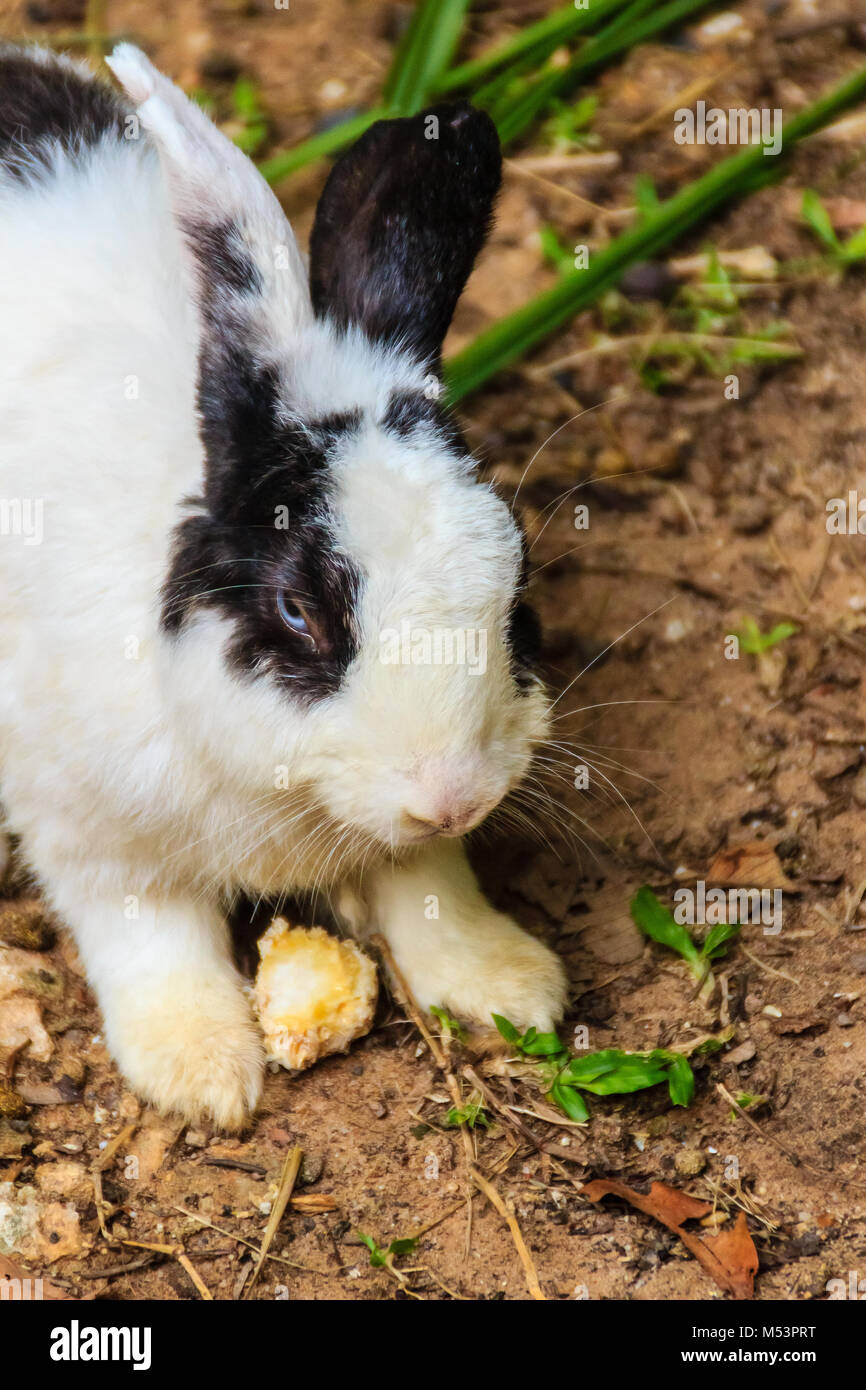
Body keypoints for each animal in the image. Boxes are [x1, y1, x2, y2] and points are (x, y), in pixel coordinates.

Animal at [0, 43, 567, 1128]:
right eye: (299, 611)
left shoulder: (404, 845)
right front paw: (202, 1072)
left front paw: (508, 984)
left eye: (517, 595)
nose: (451, 794)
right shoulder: (88, 831)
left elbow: (427, 884)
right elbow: (151, 937)